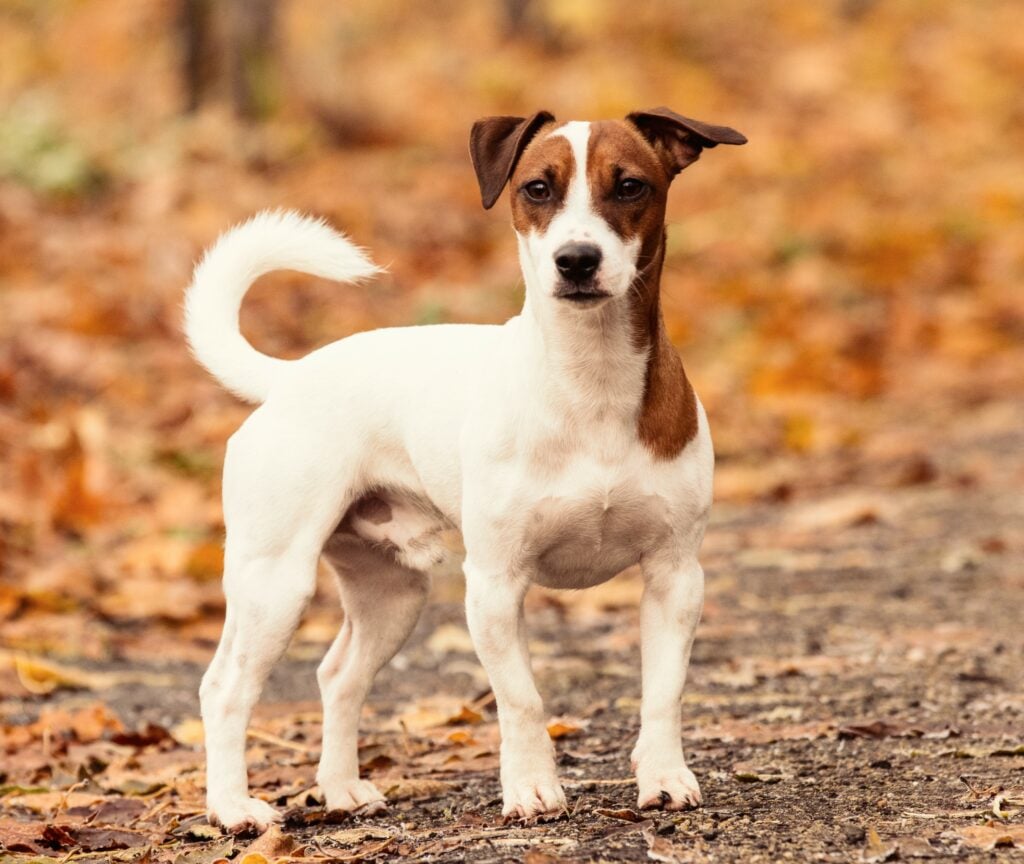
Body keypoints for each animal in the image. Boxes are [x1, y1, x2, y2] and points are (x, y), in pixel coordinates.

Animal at [184, 108, 745, 831]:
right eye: (537, 188)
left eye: (630, 186)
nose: (577, 260)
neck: (590, 379)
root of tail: (290, 377)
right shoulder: (497, 585)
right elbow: (522, 700)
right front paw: (532, 790)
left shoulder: (676, 577)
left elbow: (663, 692)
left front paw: (665, 778)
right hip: (273, 583)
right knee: (224, 688)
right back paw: (233, 808)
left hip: (392, 593)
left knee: (338, 676)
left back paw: (340, 789)